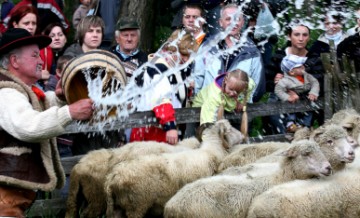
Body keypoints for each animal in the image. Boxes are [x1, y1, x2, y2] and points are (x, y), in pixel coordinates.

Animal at [104, 119, 245, 218]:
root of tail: (112, 178)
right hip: (136, 206)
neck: (212, 149)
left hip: (118, 208)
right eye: (229, 129)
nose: (243, 136)